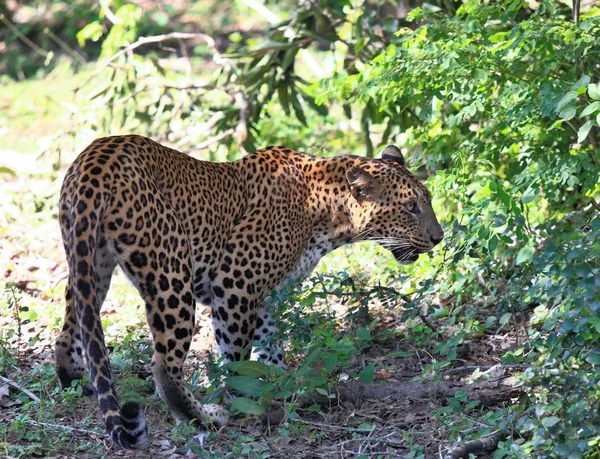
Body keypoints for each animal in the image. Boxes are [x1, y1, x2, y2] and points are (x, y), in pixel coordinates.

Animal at [55, 136, 440, 450]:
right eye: (410, 207)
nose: (439, 237)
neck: (327, 212)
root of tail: (95, 162)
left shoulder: (267, 296)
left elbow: (270, 346)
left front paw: (279, 385)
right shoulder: (235, 281)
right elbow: (235, 354)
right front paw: (243, 398)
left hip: (89, 262)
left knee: (70, 330)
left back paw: (77, 380)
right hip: (171, 272)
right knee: (164, 366)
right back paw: (205, 417)